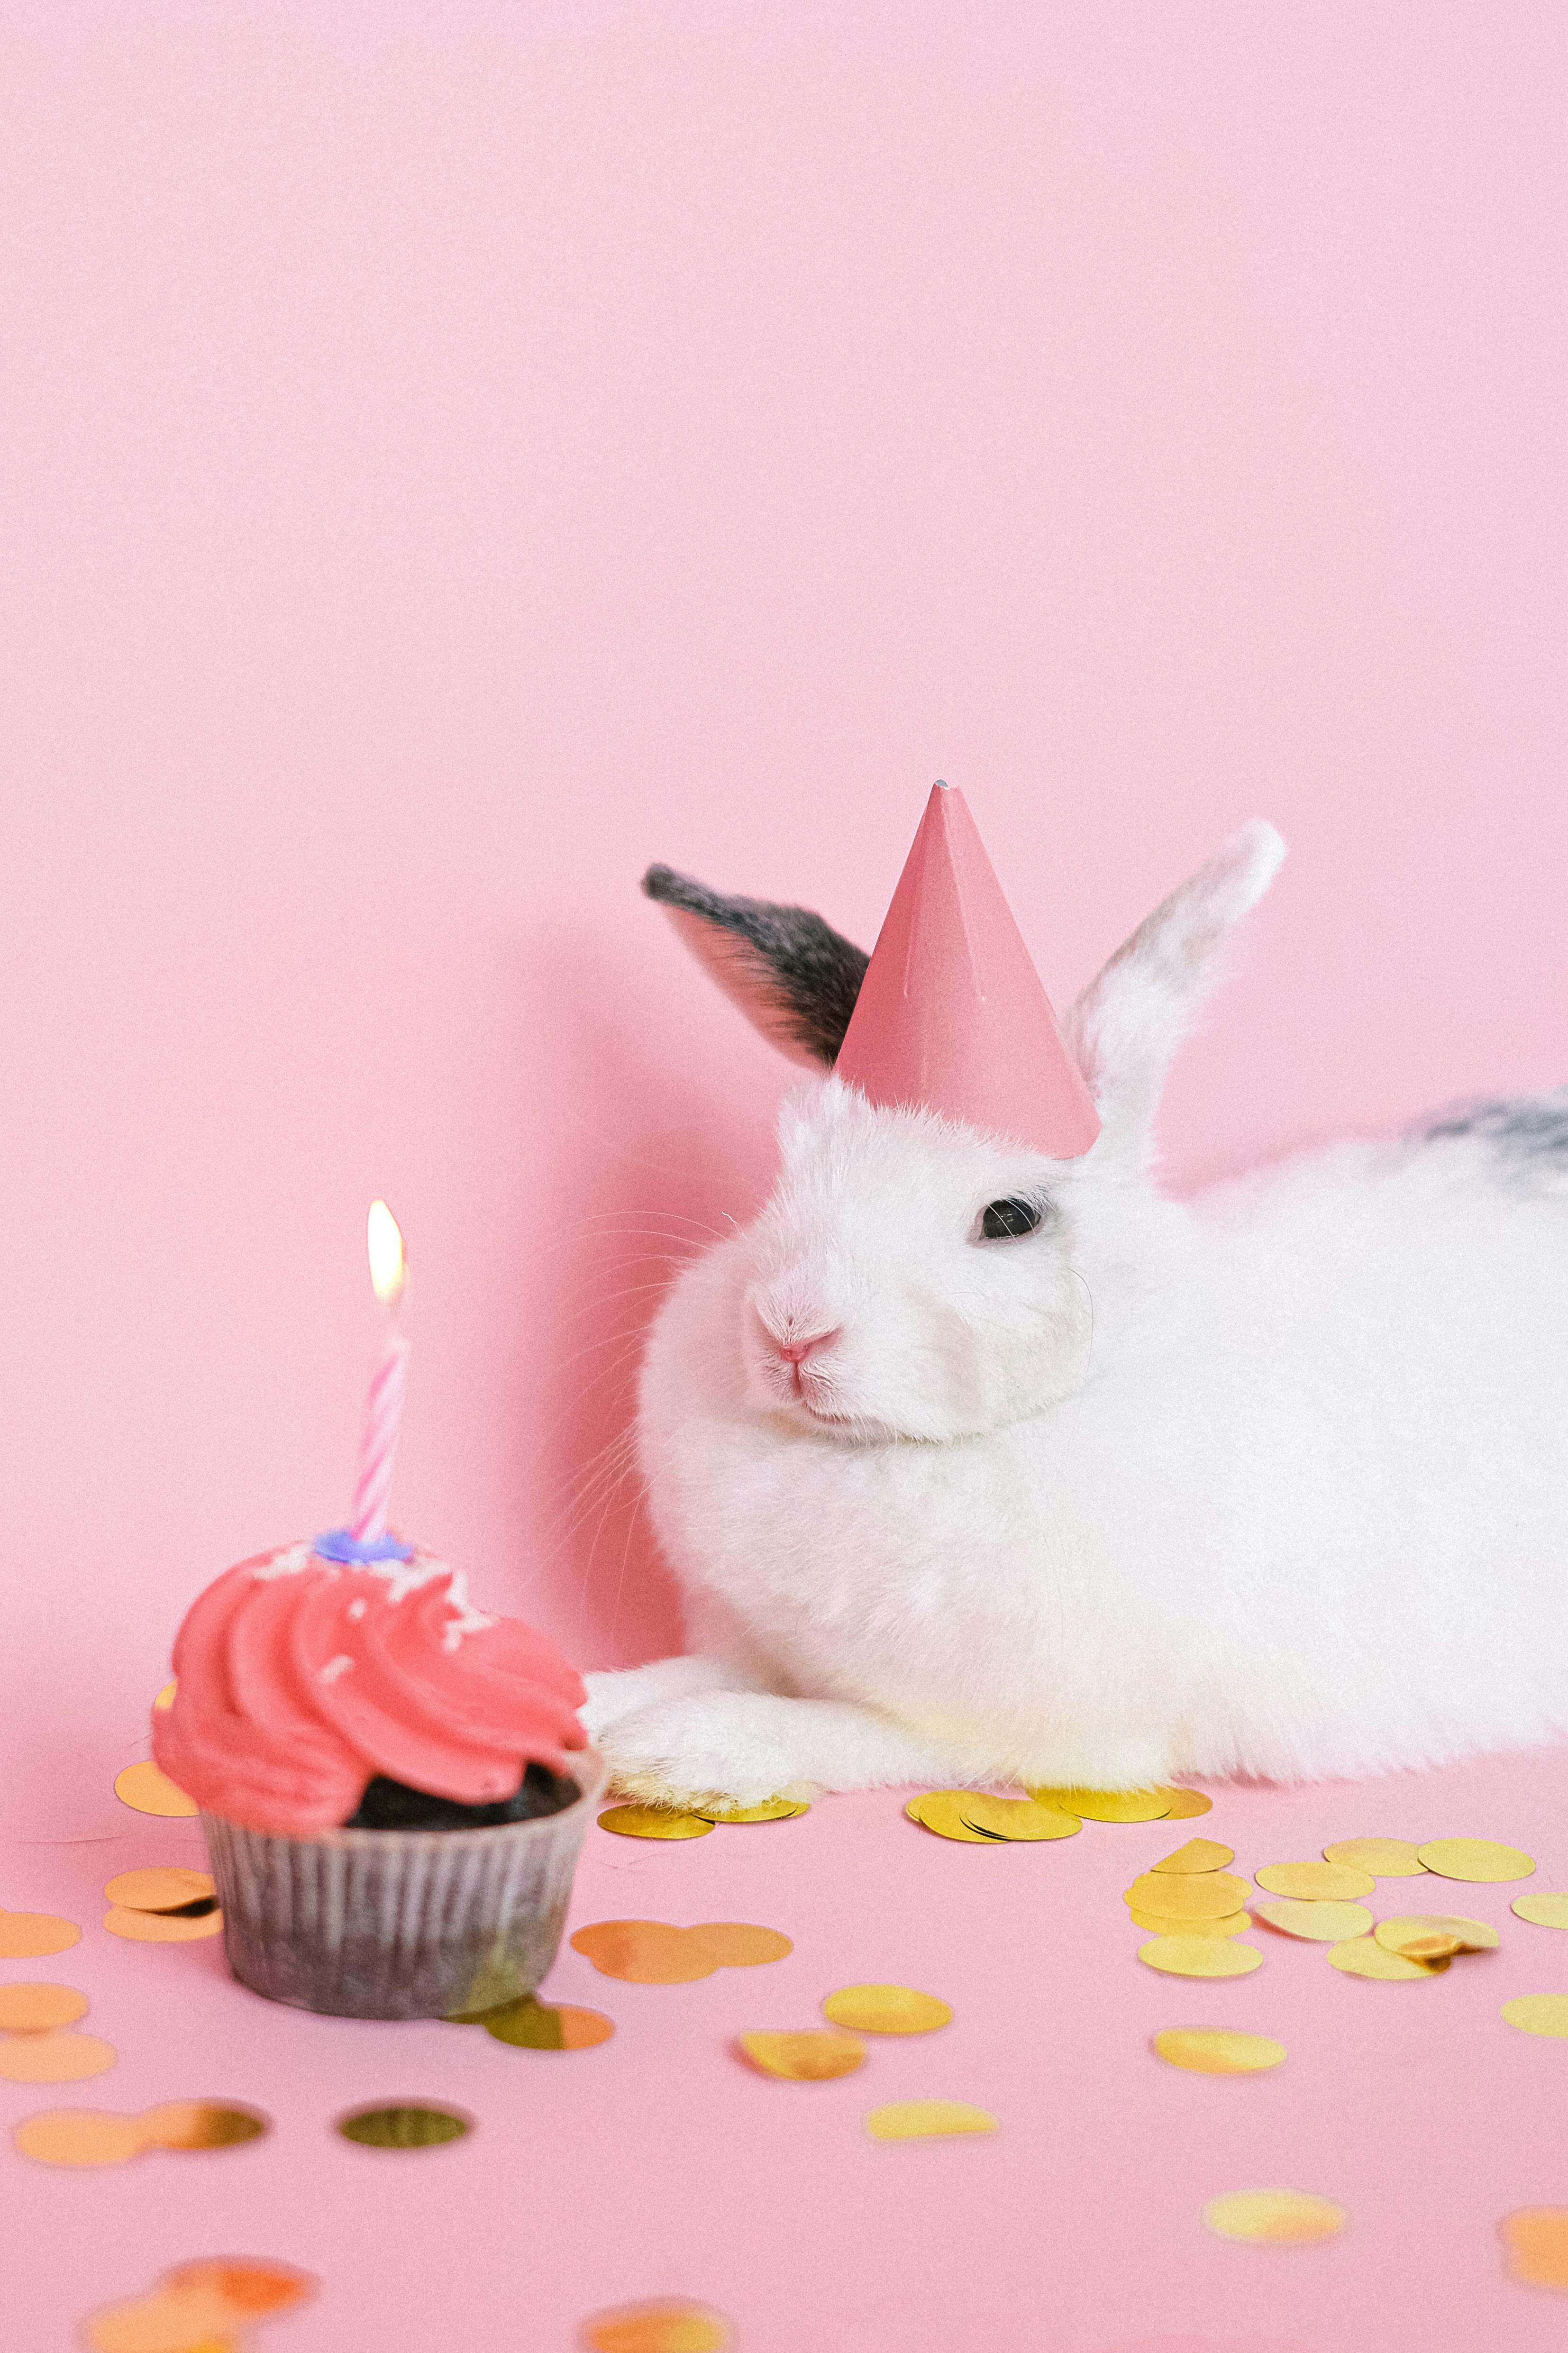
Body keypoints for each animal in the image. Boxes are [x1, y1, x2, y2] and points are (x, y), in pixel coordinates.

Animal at [579, 819, 1563, 1807]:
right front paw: (587, 1700)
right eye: (785, 1168)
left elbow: (848, 1730)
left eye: (1010, 1216)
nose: (792, 1327)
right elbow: (683, 1672)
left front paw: (683, 1748)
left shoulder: (1035, 1735)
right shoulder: (753, 1644)